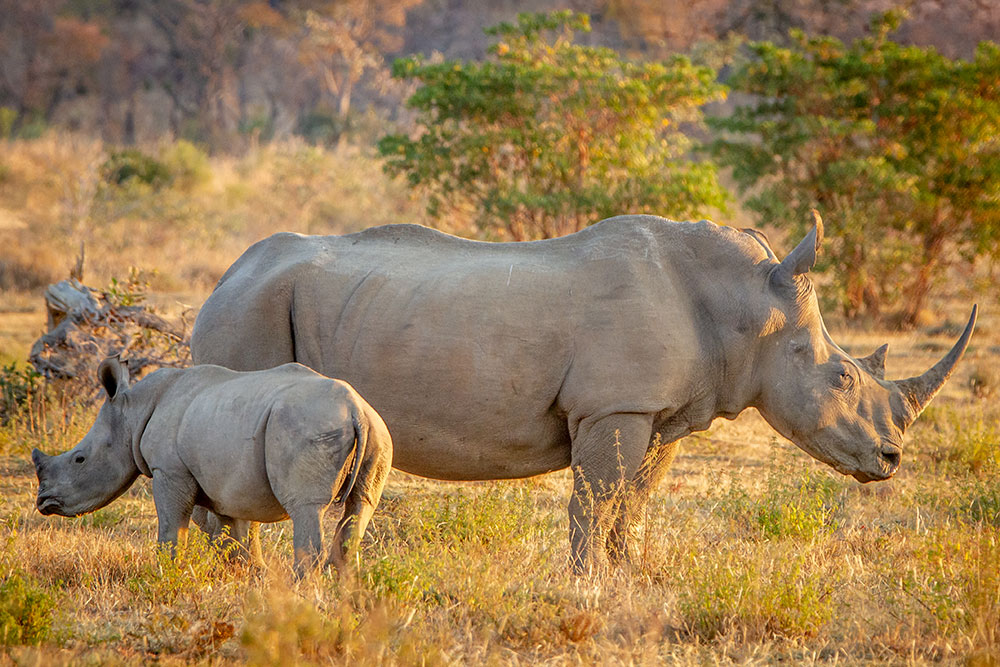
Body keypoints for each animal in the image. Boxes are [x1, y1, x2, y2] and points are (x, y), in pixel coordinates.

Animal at [32, 360, 390, 576]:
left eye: (79, 459)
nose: (43, 502)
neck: (132, 413)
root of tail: (355, 409)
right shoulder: (226, 483)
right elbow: (233, 535)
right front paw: (247, 576)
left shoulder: (169, 471)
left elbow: (171, 527)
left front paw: (166, 574)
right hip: (378, 432)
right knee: (360, 505)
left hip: (308, 426)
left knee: (307, 508)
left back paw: (299, 591)